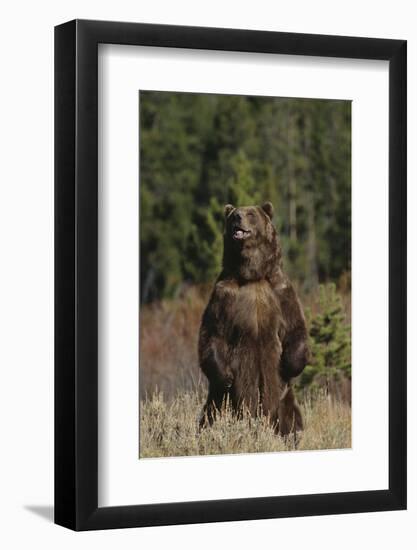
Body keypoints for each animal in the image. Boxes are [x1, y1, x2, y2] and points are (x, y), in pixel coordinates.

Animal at [198, 201, 308, 438]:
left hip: (282, 396)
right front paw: (226, 376)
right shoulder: (224, 295)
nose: (237, 218)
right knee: (211, 415)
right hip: (224, 399)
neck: (252, 276)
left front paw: (290, 364)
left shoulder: (280, 290)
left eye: (250, 214)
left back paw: (291, 435)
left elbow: (295, 327)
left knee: (292, 417)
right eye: (233, 215)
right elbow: (212, 334)